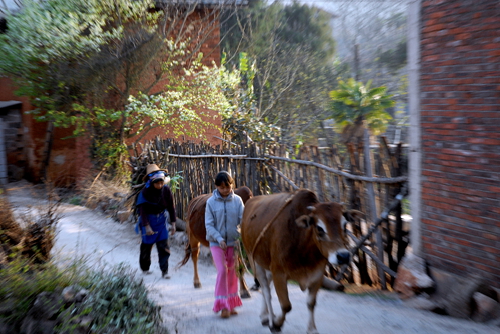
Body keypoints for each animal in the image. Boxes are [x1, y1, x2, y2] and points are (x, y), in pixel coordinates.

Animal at [240, 189, 354, 332]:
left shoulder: (317, 275)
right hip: (254, 260)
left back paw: (265, 316)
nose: (343, 256)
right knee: (266, 291)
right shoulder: (279, 274)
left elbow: (311, 303)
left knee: (267, 288)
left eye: (345, 225)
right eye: (319, 228)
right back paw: (269, 318)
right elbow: (286, 305)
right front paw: (277, 323)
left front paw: (312, 329)